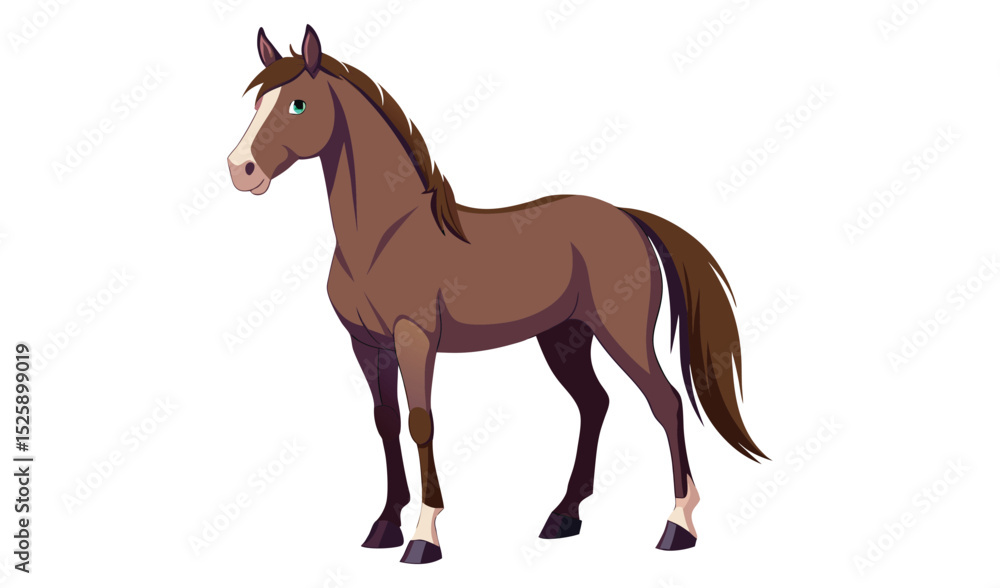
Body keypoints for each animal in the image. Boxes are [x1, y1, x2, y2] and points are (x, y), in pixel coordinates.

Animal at [227, 25, 766, 564]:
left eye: (298, 104)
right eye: (257, 103)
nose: (241, 169)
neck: (384, 237)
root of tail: (626, 217)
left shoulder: (415, 339)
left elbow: (420, 423)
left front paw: (424, 536)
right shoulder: (367, 345)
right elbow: (386, 422)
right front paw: (384, 526)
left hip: (622, 335)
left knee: (665, 403)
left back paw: (677, 527)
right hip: (565, 337)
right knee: (594, 404)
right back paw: (564, 517)